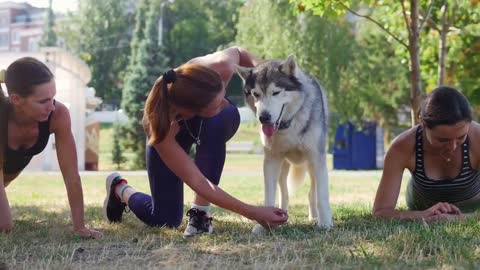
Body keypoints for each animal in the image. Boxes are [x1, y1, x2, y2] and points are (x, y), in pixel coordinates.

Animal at [234, 55, 332, 232]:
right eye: (256, 94)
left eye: (276, 92)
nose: (264, 118)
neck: (289, 124)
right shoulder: (271, 161)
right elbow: (269, 196)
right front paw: (264, 223)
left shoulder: (317, 158)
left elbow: (322, 196)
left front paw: (326, 223)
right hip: (283, 167)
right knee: (284, 193)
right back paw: (282, 215)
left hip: (311, 166)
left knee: (312, 193)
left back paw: (314, 217)